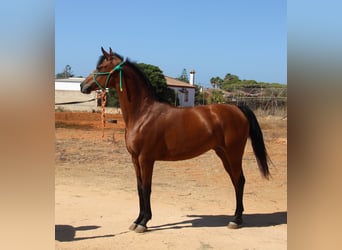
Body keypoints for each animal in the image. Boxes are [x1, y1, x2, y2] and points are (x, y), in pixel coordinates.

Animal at [81, 47, 270, 233]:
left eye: (100, 67)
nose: (83, 86)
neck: (143, 114)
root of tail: (237, 108)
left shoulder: (146, 159)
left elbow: (147, 188)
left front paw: (144, 222)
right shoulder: (135, 159)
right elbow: (139, 188)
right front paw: (137, 220)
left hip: (234, 154)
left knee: (240, 181)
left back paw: (236, 220)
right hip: (223, 154)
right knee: (236, 181)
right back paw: (237, 217)